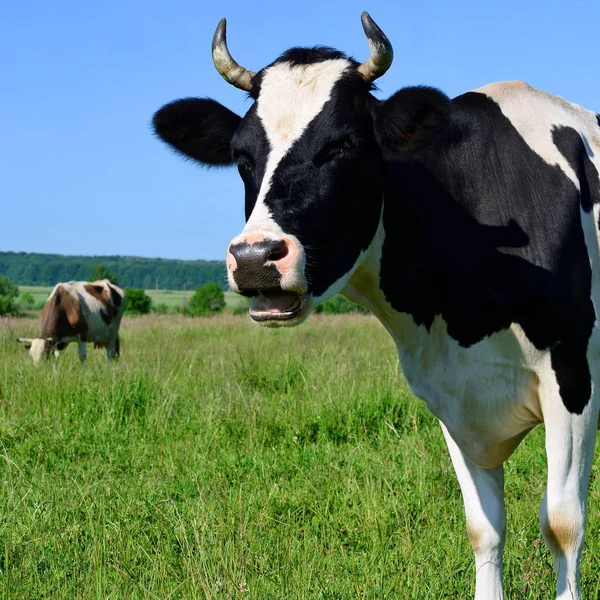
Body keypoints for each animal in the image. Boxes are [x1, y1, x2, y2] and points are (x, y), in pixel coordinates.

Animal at [152, 14, 600, 600]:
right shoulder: (450, 391)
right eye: (242, 156)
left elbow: (562, 524)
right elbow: (484, 528)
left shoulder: (572, 373)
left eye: (343, 146)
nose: (254, 257)